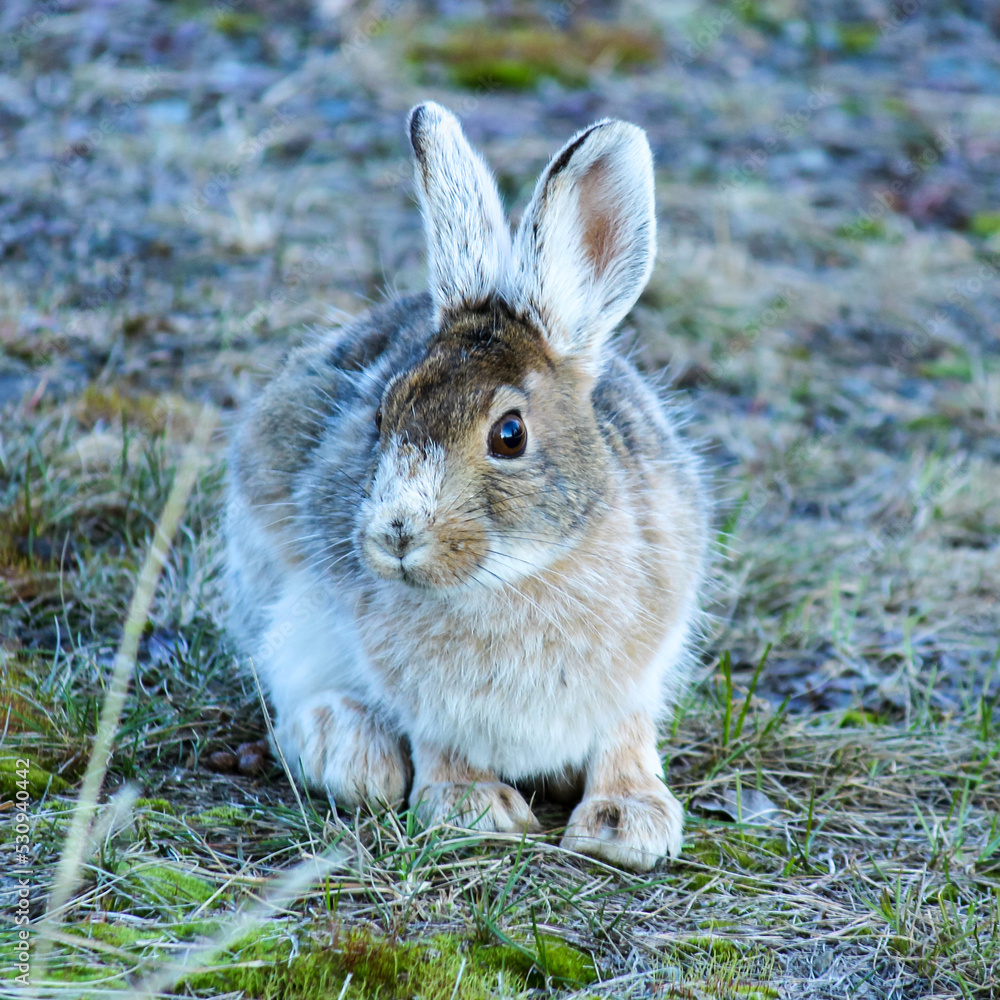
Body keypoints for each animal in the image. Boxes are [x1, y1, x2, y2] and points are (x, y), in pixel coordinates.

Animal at [225, 102, 710, 871]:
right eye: (382, 414)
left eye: (509, 435)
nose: (395, 533)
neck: (518, 575)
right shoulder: (424, 700)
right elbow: (440, 741)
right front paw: (475, 807)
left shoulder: (642, 669)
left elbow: (625, 737)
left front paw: (627, 822)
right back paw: (347, 747)